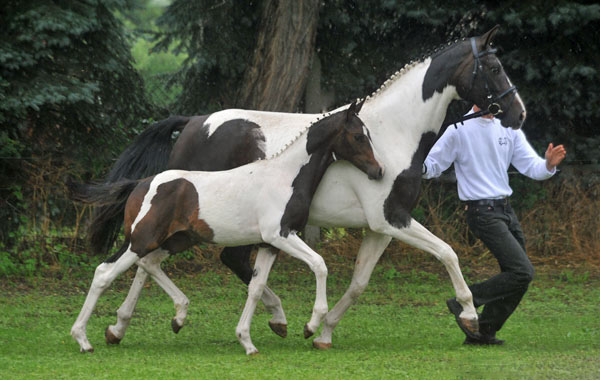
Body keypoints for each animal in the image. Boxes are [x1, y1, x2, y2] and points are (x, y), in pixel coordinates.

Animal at [68, 99, 382, 354]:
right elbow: (319, 264)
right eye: (358, 136)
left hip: (177, 240)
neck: (286, 176)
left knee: (150, 264)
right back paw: (83, 339)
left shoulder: (269, 244)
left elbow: (256, 286)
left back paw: (178, 316)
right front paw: (310, 325)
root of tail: (141, 183)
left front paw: (248, 340)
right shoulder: (280, 234)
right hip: (141, 239)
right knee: (105, 273)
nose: (378, 171)